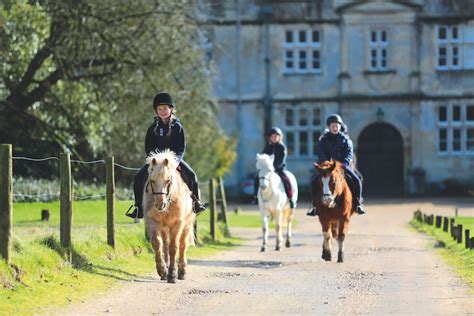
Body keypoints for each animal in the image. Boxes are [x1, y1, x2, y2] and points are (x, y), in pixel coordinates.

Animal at [144, 151, 196, 284]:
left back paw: (182, 272)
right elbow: (157, 244)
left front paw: (172, 275)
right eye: (152, 181)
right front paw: (162, 270)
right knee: (165, 245)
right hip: (164, 227)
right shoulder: (153, 221)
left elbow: (174, 247)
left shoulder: (178, 223)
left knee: (183, 245)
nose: (160, 205)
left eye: (168, 181)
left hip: (187, 225)